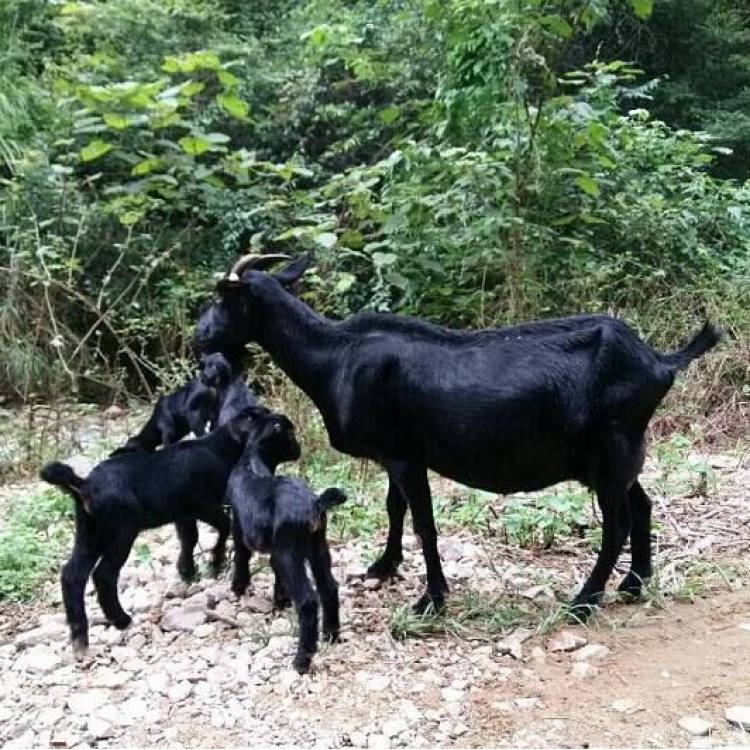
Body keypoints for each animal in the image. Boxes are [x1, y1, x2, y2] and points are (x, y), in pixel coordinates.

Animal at [39, 412, 262, 656]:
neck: (218, 448)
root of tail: (83, 485)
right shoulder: (203, 505)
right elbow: (223, 526)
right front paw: (216, 562)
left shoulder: (182, 513)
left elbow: (189, 537)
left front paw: (187, 571)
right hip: (121, 531)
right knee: (104, 574)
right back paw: (121, 620)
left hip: (89, 531)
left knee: (73, 575)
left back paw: (80, 637)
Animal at [194, 256, 724, 620]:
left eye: (224, 298)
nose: (199, 336)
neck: (336, 356)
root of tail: (659, 361)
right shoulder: (396, 454)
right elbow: (395, 509)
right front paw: (384, 567)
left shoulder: (405, 455)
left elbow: (424, 524)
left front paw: (431, 598)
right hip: (617, 453)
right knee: (642, 505)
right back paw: (634, 583)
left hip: (611, 450)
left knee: (615, 525)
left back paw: (584, 601)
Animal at [229, 412, 346, 676]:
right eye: (290, 435)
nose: (298, 447)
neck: (252, 459)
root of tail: (314, 504)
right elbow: (276, 576)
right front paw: (279, 602)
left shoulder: (239, 526)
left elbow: (241, 557)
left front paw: (238, 587)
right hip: (317, 546)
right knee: (329, 587)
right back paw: (330, 634)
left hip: (289, 552)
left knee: (308, 601)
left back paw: (302, 659)